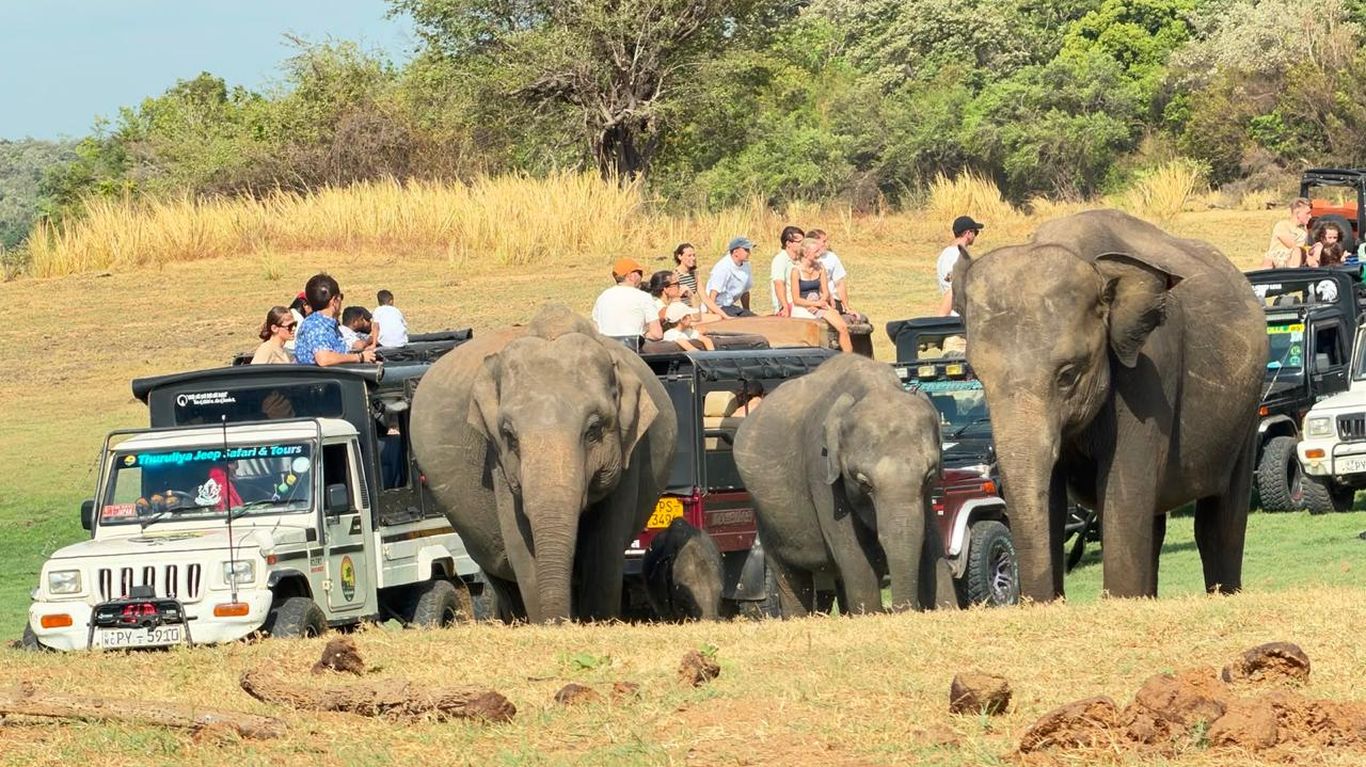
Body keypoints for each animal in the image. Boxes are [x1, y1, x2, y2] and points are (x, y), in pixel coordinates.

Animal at [409, 305, 678, 623]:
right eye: (510, 436)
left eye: (594, 429)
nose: (561, 622)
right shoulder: (497, 461)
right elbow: (521, 546)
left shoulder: (631, 448)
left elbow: (605, 547)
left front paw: (596, 622)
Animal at [732, 353, 957, 615]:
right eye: (863, 483)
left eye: (929, 476)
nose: (902, 611)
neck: (875, 386)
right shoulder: (821, 471)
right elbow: (854, 555)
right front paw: (871, 613)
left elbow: (930, 540)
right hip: (765, 516)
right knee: (788, 574)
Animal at [950, 209, 1266, 602]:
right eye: (977, 376)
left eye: (1067, 374)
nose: (1037, 601)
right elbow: (1057, 503)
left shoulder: (1149, 370)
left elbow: (1123, 492)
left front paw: (1120, 600)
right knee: (1155, 524)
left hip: (1247, 411)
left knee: (1219, 522)